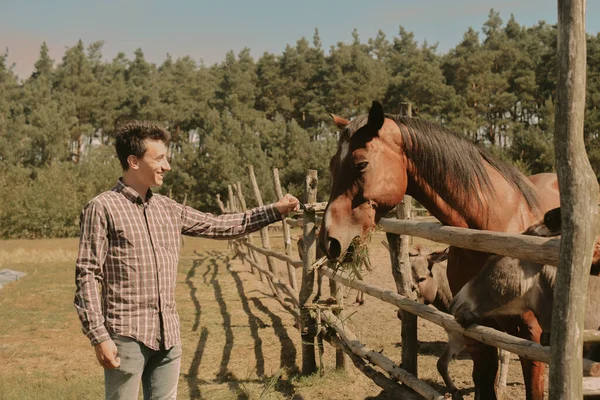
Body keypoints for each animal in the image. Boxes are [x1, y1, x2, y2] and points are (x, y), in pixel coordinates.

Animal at [318, 102, 564, 400]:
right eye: (332, 165)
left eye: (361, 164)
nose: (328, 240)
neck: (492, 229)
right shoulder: (476, 337)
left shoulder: (531, 342)